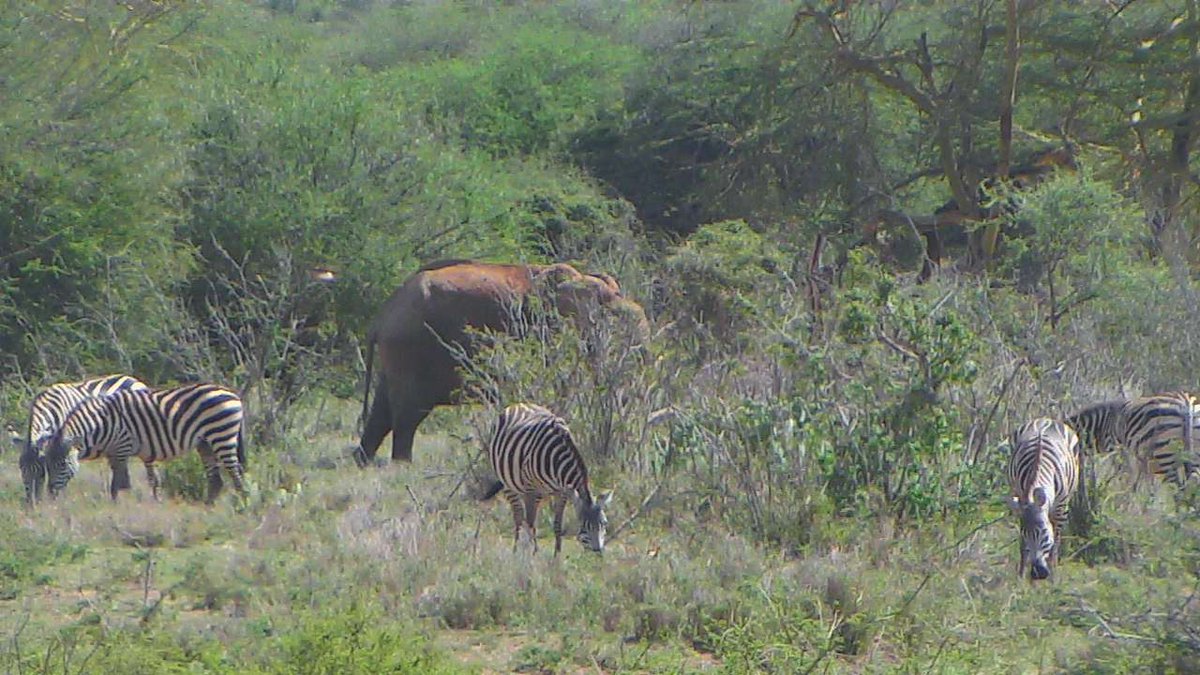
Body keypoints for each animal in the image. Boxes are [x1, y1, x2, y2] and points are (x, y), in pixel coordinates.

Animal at [45, 381, 246, 502]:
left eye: (62, 464)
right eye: (49, 465)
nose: (51, 494)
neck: (101, 425)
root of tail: (233, 394)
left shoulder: (122, 447)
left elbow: (118, 483)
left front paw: (118, 505)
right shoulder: (114, 453)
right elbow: (126, 481)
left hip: (221, 435)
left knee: (235, 473)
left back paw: (241, 505)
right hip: (205, 443)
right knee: (216, 479)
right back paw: (208, 507)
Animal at [352, 257, 648, 461]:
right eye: (608, 307)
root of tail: (381, 317)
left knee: (382, 412)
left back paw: (365, 460)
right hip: (410, 349)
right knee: (408, 415)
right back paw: (403, 466)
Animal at [477, 401, 614, 554]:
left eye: (604, 524)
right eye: (585, 526)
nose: (598, 552)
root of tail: (519, 404)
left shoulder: (562, 492)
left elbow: (557, 524)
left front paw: (557, 555)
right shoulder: (531, 489)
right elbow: (530, 522)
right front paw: (533, 554)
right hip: (509, 483)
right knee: (519, 517)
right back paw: (516, 550)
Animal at [1008, 415, 1084, 578]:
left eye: (1044, 532)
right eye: (1025, 535)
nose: (1038, 573)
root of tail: (1046, 419)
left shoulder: (1060, 508)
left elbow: (1054, 544)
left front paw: (1053, 578)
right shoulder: (1019, 498)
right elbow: (1023, 549)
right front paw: (1020, 577)